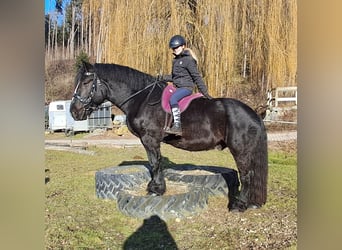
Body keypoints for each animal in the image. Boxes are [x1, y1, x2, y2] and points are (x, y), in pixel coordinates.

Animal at [71, 61, 268, 212]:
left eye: (87, 82)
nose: (74, 111)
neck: (141, 99)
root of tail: (253, 113)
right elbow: (155, 163)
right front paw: (154, 186)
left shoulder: (150, 139)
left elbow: (155, 163)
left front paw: (157, 189)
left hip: (240, 150)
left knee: (246, 175)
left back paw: (239, 205)